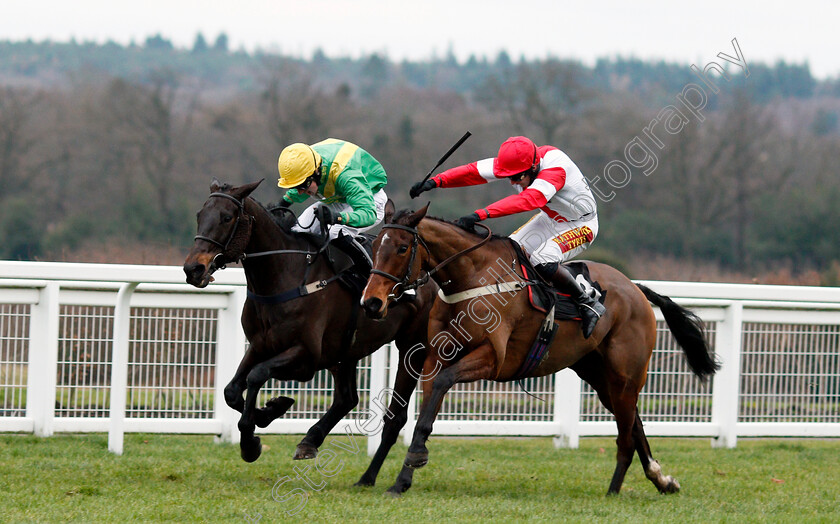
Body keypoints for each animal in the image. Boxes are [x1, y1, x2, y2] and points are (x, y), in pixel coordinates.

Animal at [182, 179, 434, 488]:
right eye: (199, 214)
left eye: (227, 217)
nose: (194, 269)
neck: (283, 276)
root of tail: (427, 271)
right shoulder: (260, 345)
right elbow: (231, 391)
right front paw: (267, 413)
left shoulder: (306, 357)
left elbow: (256, 376)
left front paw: (253, 438)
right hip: (346, 350)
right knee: (347, 399)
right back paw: (310, 441)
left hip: (412, 346)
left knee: (395, 417)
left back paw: (370, 477)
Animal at [358, 205, 720, 496]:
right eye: (374, 245)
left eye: (402, 247)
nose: (371, 302)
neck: (472, 277)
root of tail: (636, 288)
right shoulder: (434, 356)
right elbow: (425, 412)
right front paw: (402, 480)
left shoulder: (492, 359)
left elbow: (442, 388)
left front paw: (415, 458)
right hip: (600, 376)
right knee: (635, 425)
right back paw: (661, 480)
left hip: (626, 375)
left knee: (626, 436)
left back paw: (615, 491)